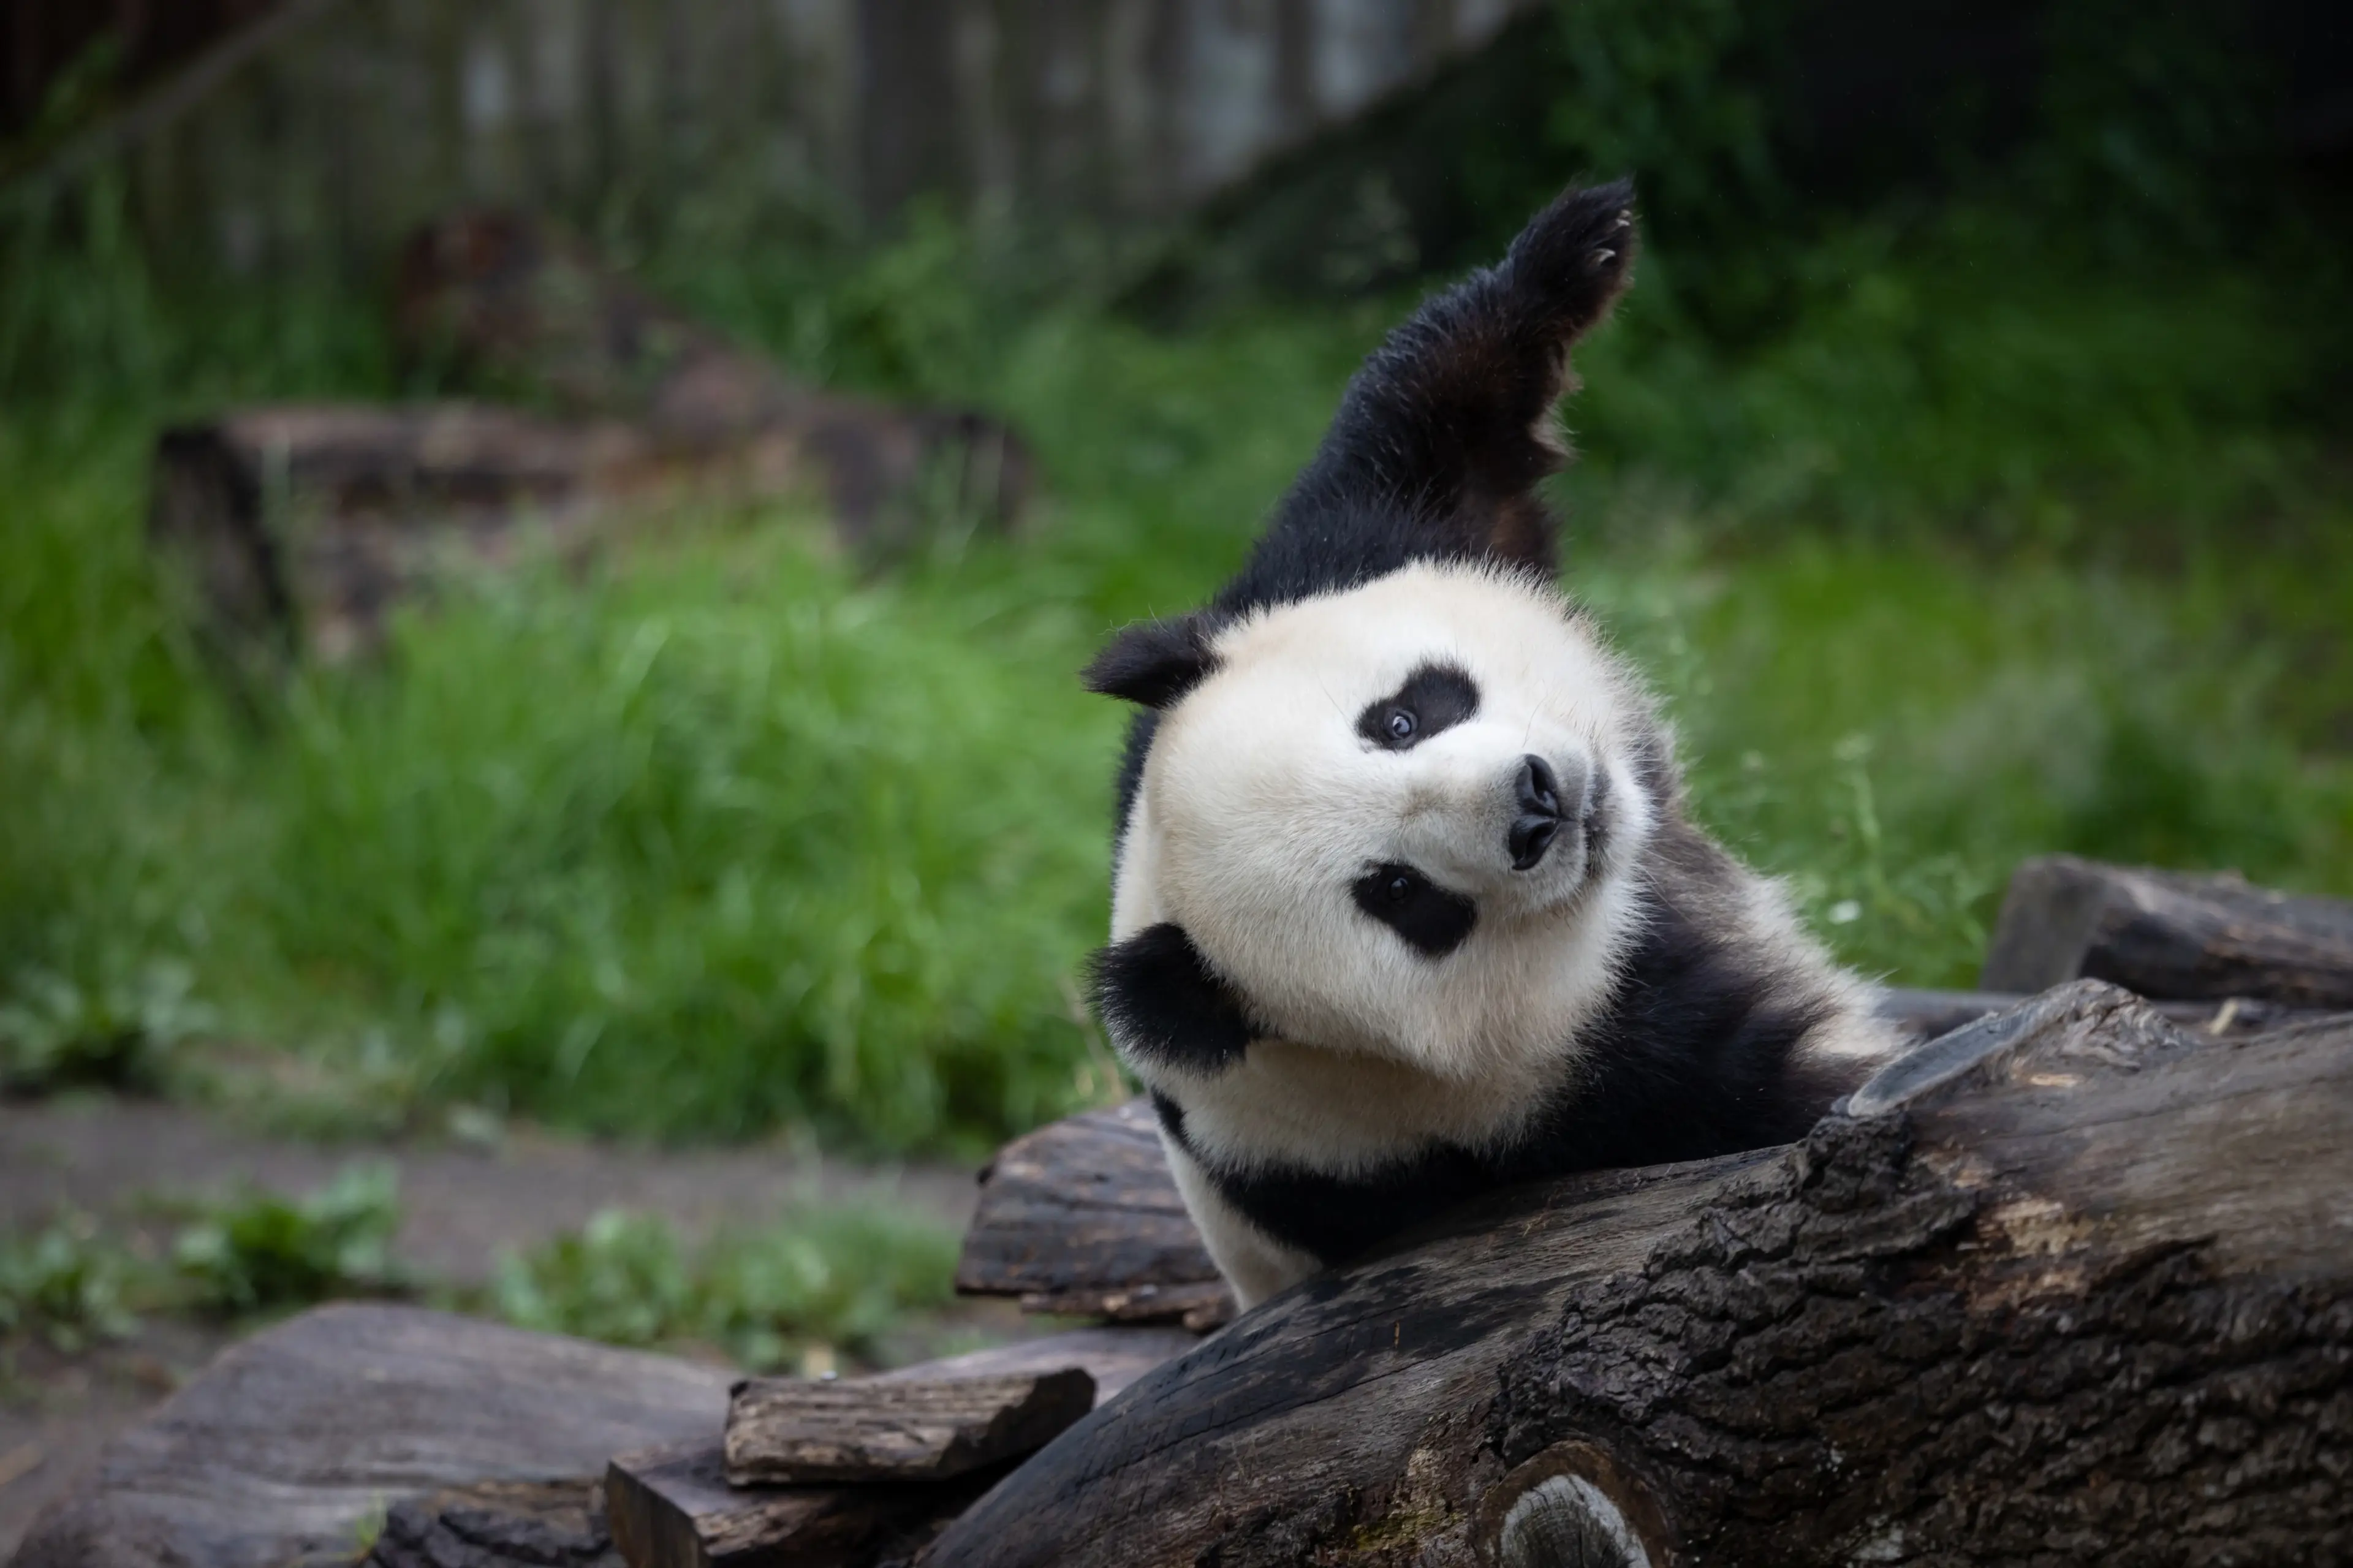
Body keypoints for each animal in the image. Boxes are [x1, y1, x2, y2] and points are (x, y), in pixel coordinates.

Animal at [1080, 180, 1902, 1309]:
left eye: (1398, 719)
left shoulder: (1336, 555)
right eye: (1399, 893)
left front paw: (1578, 246)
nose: (1538, 802)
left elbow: (1433, 425)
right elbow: (1791, 1105)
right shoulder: (1551, 1112)